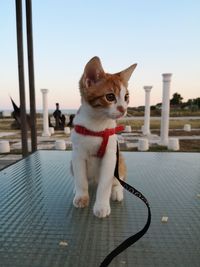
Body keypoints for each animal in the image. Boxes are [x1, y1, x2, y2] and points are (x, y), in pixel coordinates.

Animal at [71, 56, 137, 218]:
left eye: (126, 97)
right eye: (110, 97)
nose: (123, 109)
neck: (97, 126)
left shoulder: (110, 157)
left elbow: (105, 185)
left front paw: (101, 206)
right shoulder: (77, 155)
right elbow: (80, 179)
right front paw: (81, 196)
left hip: (120, 160)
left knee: (118, 179)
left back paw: (117, 190)